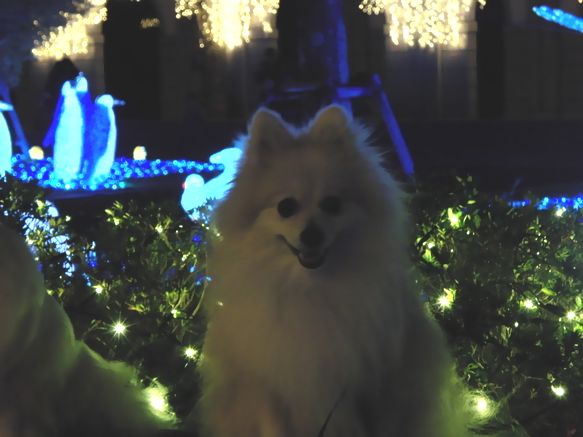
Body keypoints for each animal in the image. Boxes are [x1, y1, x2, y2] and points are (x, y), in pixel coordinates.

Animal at [195, 105, 474, 437]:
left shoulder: (370, 388)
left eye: (332, 204)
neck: (309, 289)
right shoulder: (267, 387)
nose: (311, 234)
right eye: (285, 207)